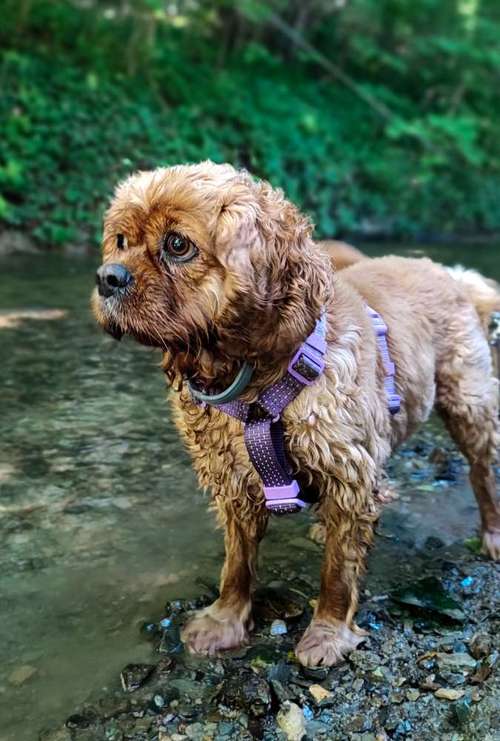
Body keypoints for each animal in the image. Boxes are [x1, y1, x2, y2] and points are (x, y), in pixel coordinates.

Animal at [94, 163, 500, 672]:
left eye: (178, 244)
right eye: (120, 241)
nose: (106, 277)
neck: (251, 380)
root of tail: (450, 273)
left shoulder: (348, 474)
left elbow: (337, 575)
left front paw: (327, 635)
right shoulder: (233, 482)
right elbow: (236, 565)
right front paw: (223, 622)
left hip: (469, 403)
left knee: (482, 472)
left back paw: (492, 535)